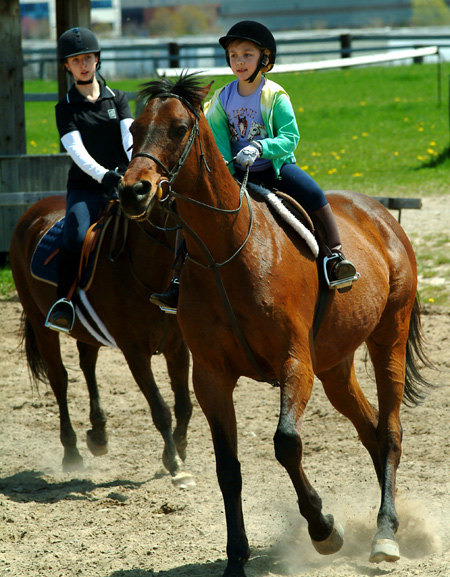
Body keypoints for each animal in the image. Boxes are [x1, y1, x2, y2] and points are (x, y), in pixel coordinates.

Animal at [9, 194, 193, 486]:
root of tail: (34, 210)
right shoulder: (134, 351)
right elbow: (160, 409)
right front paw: (176, 464)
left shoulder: (177, 347)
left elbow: (184, 405)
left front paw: (178, 451)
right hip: (40, 324)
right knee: (59, 379)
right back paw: (71, 451)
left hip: (86, 329)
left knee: (88, 366)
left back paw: (98, 435)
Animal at [118, 74, 434, 572]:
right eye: (134, 130)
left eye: (179, 128)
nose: (133, 191)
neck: (226, 254)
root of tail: (382, 216)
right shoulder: (211, 376)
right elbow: (228, 469)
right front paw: (236, 558)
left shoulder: (294, 363)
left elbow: (286, 442)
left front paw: (324, 529)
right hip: (335, 366)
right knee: (371, 430)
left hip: (389, 339)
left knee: (391, 432)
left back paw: (385, 535)